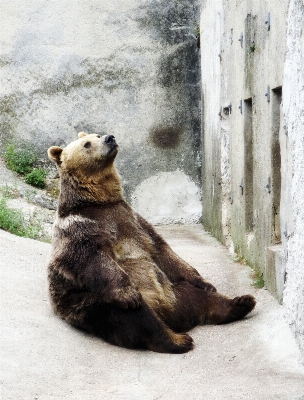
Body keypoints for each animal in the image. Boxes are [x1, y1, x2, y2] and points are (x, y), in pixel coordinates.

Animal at [48, 132, 256, 354]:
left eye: (96, 135)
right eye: (86, 144)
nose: (109, 138)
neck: (99, 201)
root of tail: (168, 314)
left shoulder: (133, 221)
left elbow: (162, 250)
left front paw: (205, 282)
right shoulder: (80, 227)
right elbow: (92, 258)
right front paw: (127, 293)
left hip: (175, 291)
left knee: (198, 296)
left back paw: (241, 302)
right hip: (92, 303)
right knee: (138, 317)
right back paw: (177, 340)